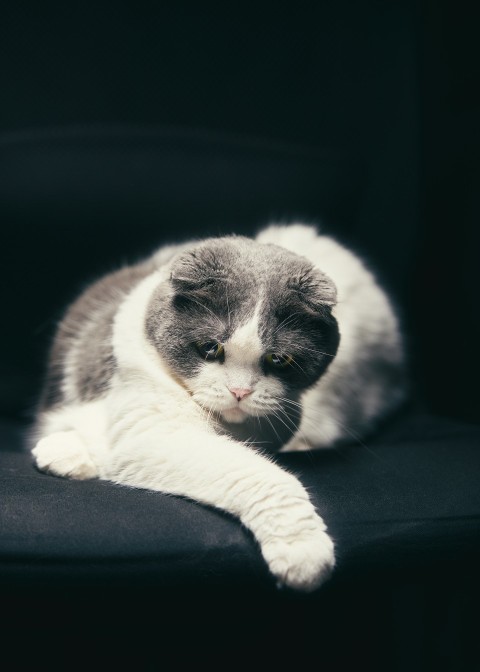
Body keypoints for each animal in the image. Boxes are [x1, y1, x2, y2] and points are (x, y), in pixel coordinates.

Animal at [31, 223, 404, 592]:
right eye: (210, 348)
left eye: (278, 359)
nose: (239, 390)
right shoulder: (150, 431)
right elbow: (257, 475)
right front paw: (303, 550)